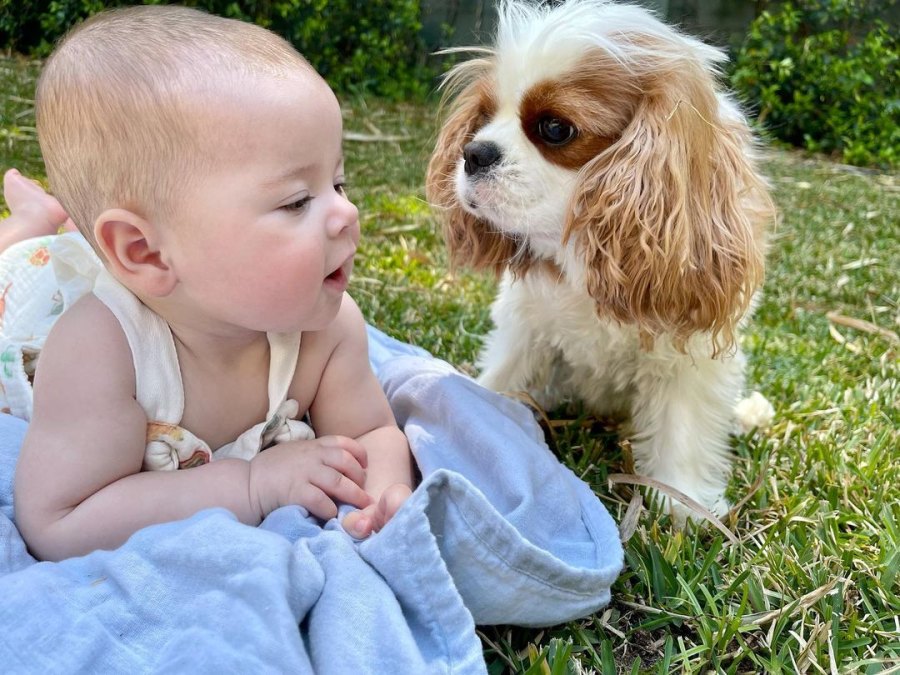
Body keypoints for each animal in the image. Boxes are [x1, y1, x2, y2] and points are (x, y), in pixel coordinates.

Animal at [428, 0, 772, 524]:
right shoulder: (525, 328)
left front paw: (682, 502)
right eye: (483, 116)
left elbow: (682, 430)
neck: (583, 250)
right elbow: (504, 375)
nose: (473, 152)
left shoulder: (687, 358)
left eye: (555, 129)